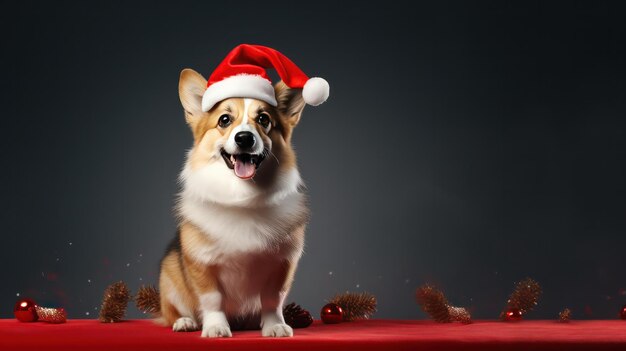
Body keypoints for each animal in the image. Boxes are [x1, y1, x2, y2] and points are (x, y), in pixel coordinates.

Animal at [157, 68, 312, 338]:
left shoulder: (281, 264)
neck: (242, 197)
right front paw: (216, 327)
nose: (244, 138)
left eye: (263, 119)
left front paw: (275, 326)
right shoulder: (202, 263)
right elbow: (213, 300)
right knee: (171, 312)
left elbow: (273, 299)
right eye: (224, 120)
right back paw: (185, 322)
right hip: (169, 275)